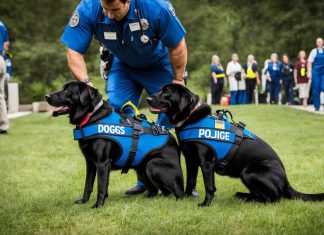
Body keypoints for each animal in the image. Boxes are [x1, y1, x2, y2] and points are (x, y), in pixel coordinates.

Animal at [45, 81, 184, 209]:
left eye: (67, 89)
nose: (46, 96)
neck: (91, 116)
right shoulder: (90, 163)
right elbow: (88, 185)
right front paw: (83, 201)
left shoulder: (102, 163)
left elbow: (101, 186)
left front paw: (98, 205)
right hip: (141, 169)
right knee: (155, 191)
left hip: (152, 164)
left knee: (177, 193)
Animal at [147, 84, 324, 206]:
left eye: (166, 92)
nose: (148, 99)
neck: (191, 117)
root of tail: (287, 181)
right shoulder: (191, 160)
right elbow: (190, 181)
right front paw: (185, 199)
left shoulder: (206, 163)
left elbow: (209, 187)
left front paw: (205, 204)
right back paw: (244, 196)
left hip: (249, 172)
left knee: (274, 198)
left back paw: (251, 200)